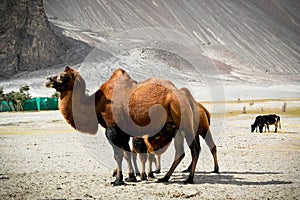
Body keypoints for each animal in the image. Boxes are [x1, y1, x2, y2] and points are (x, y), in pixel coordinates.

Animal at [43, 66, 200, 185]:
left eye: (63, 76)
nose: (47, 79)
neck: (96, 103)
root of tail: (186, 97)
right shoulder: (123, 132)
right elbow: (127, 153)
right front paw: (131, 177)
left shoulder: (112, 129)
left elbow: (118, 155)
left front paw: (118, 180)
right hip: (177, 127)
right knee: (181, 152)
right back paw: (165, 178)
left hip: (184, 121)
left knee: (194, 149)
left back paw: (189, 179)